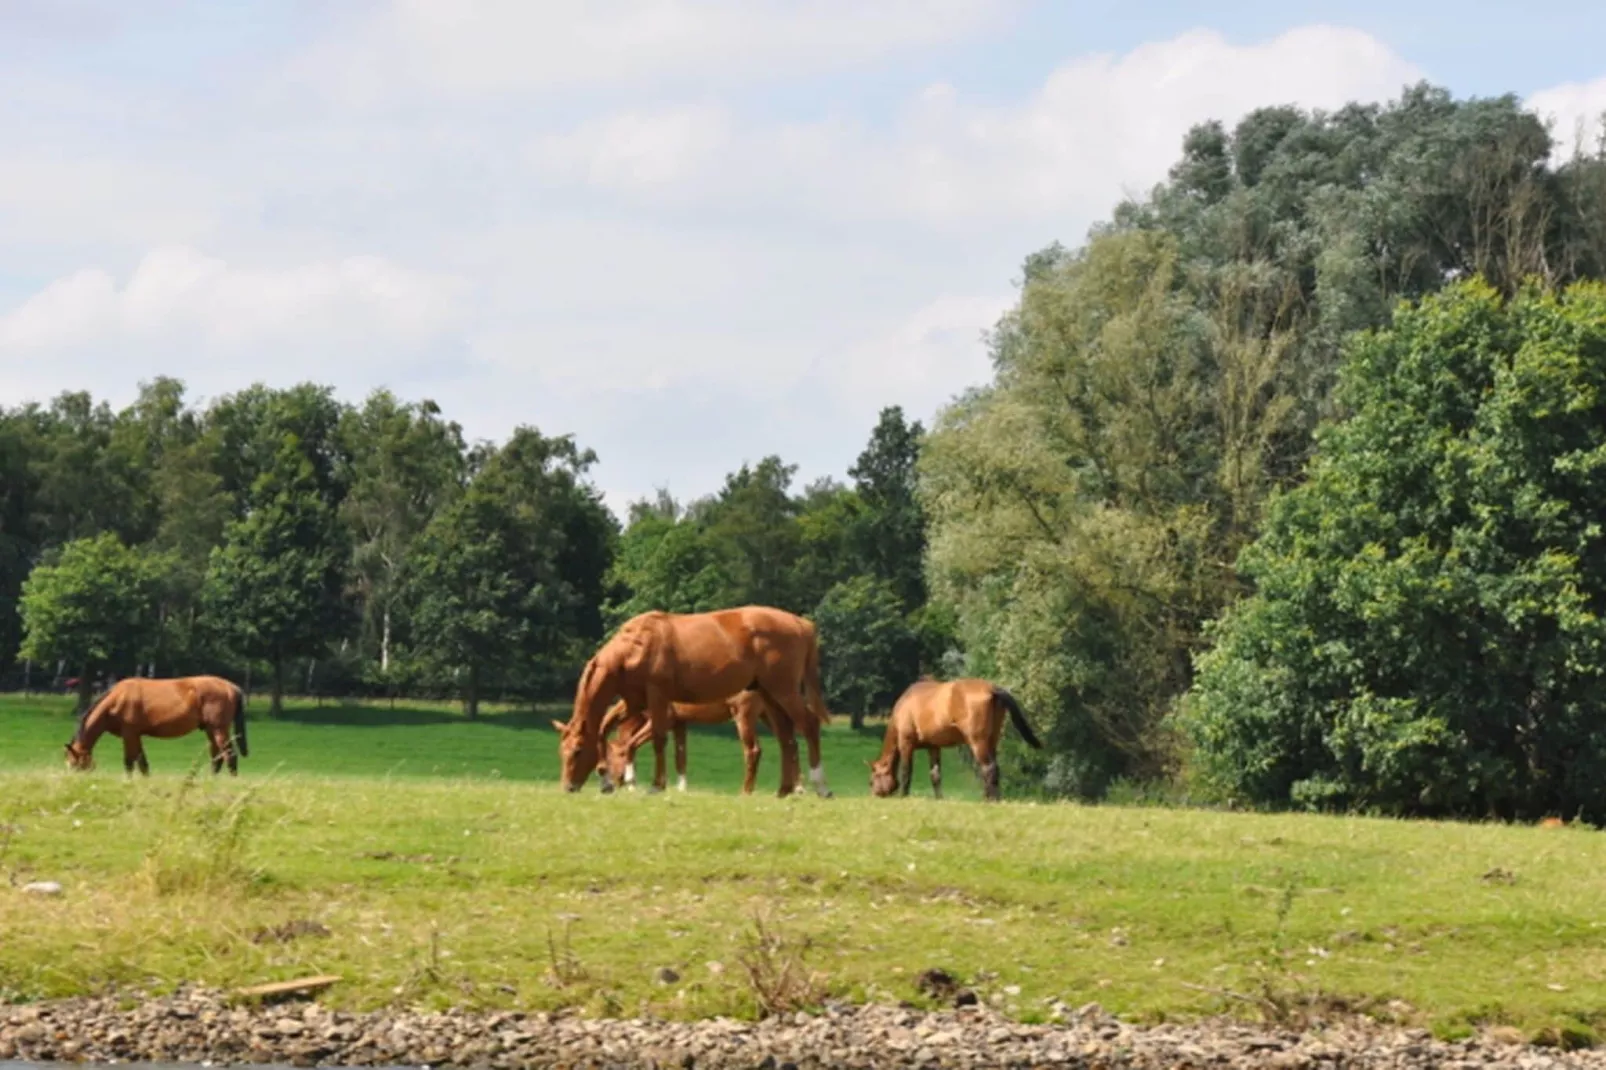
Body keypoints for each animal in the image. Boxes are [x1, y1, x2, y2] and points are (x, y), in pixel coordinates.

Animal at [63, 674, 247, 774]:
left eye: (75, 765)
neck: (116, 700)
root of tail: (232, 687)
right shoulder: (135, 735)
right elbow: (142, 763)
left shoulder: (129, 734)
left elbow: (129, 762)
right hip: (211, 730)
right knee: (217, 758)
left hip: (219, 729)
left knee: (230, 756)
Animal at [600, 687, 780, 796]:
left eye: (608, 758)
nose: (610, 786)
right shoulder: (679, 723)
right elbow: (680, 757)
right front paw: (681, 789)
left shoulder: (663, 721)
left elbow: (631, 745)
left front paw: (633, 782)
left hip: (743, 717)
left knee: (752, 751)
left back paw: (745, 792)